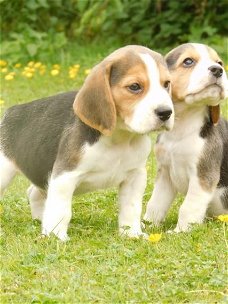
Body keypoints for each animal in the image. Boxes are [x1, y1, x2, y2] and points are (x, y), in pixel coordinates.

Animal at [0, 44, 175, 240]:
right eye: (135, 87)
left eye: (166, 84)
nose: (166, 112)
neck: (119, 138)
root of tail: (11, 111)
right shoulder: (64, 176)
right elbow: (60, 210)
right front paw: (56, 237)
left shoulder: (135, 176)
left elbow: (131, 208)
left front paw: (132, 233)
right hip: (5, 170)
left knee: (34, 193)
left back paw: (39, 219)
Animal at [144, 42, 228, 232]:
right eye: (188, 61)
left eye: (219, 62)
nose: (218, 70)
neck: (182, 127)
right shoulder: (165, 173)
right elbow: (155, 203)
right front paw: (148, 226)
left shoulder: (203, 176)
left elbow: (188, 207)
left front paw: (180, 231)